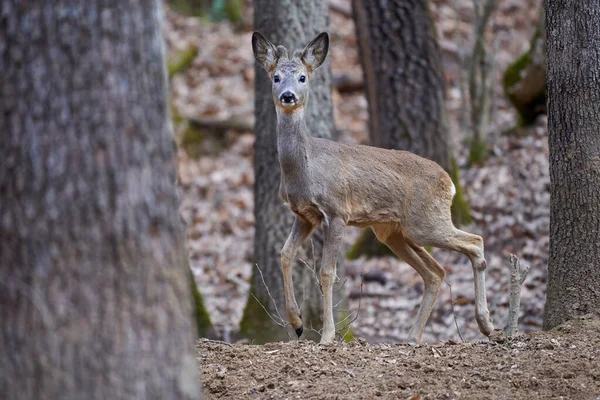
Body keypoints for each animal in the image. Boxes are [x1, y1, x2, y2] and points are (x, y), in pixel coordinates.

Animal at [251, 30, 494, 344]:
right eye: (276, 77)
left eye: (303, 77)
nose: (288, 96)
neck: (305, 169)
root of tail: (449, 182)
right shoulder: (304, 215)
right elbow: (284, 254)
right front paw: (297, 322)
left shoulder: (337, 211)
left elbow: (327, 272)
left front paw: (327, 336)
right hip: (393, 232)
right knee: (436, 271)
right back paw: (412, 337)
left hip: (425, 222)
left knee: (475, 241)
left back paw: (486, 324)